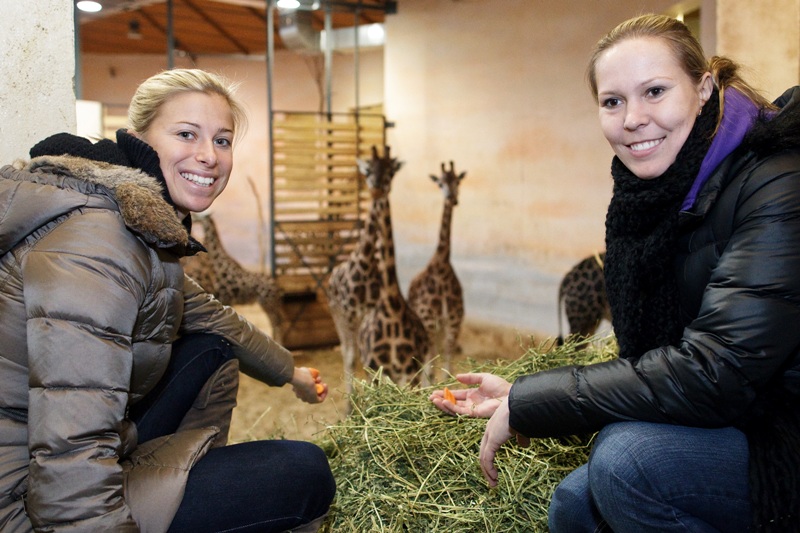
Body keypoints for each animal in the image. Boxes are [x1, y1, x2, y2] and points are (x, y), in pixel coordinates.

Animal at [180, 214, 286, 342]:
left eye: (198, 217)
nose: (193, 220)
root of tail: (277, 287)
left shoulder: (221, 296)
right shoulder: (225, 298)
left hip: (268, 302)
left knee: (277, 323)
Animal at [324, 143, 400, 396]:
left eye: (390, 171)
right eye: (367, 170)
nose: (377, 189)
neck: (366, 264)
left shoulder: (367, 312)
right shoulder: (347, 314)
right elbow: (350, 357)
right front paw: (351, 400)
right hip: (337, 314)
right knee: (346, 350)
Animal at [358, 145, 432, 386]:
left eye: (391, 171)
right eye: (368, 170)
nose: (376, 190)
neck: (390, 309)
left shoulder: (410, 370)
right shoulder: (375, 370)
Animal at [410, 160, 466, 380]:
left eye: (458, 181)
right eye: (440, 183)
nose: (453, 199)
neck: (442, 265)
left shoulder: (453, 322)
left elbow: (445, 370)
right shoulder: (430, 321)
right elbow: (431, 369)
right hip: (430, 326)